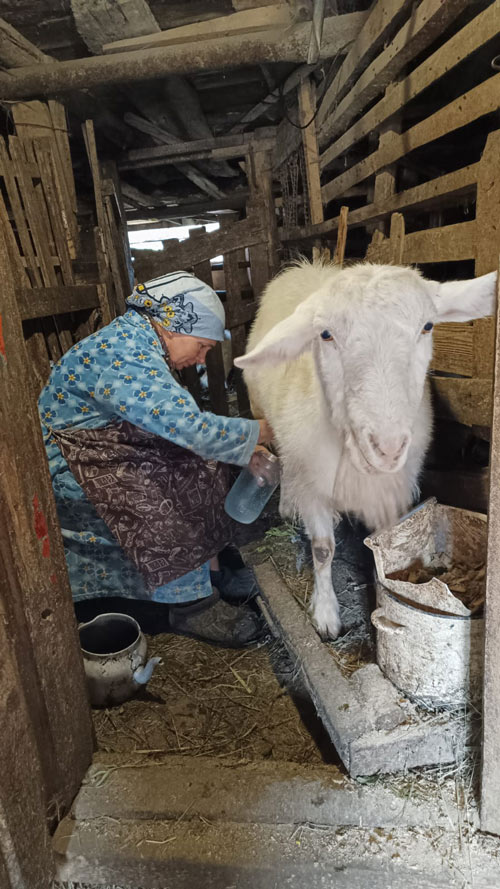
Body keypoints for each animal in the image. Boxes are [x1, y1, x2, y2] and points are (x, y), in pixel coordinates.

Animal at [236, 258, 498, 640]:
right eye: (325, 335)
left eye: (427, 326)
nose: (388, 448)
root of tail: (305, 267)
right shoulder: (313, 484)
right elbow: (322, 550)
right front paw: (326, 614)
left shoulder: (390, 492)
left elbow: (385, 545)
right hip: (266, 419)